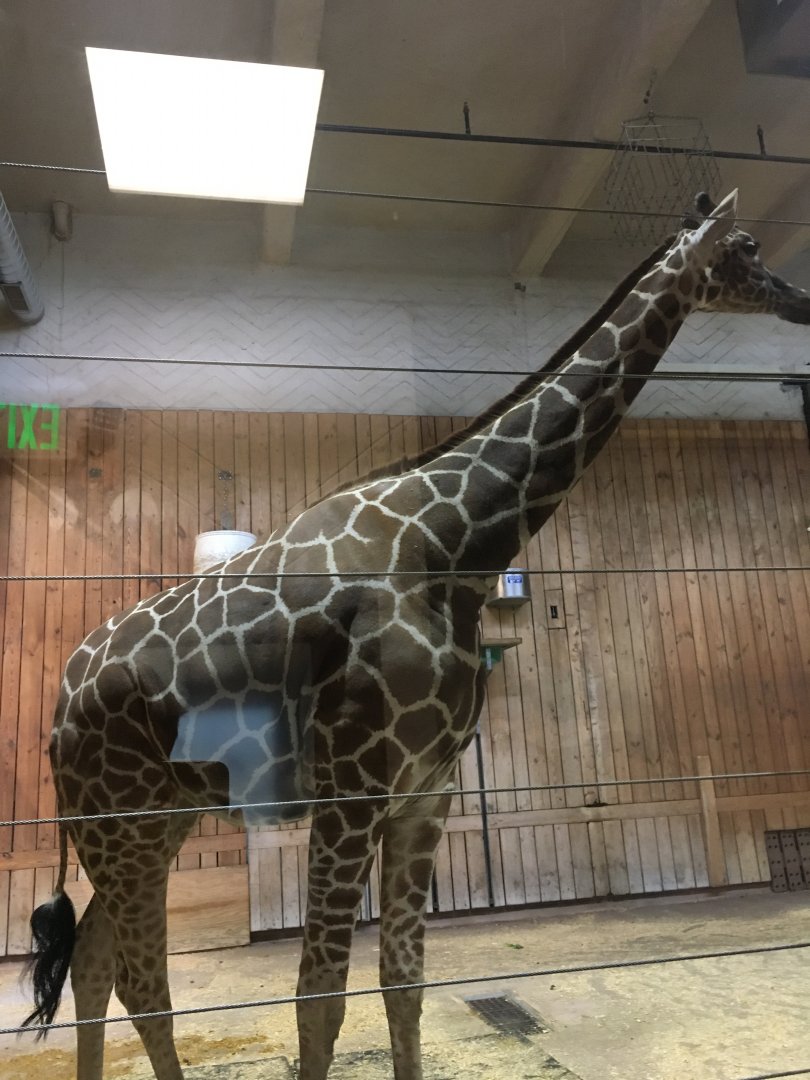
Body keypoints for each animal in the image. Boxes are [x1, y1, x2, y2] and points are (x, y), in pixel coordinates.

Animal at [22, 189, 810, 1080]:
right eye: (746, 248)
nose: (801, 301)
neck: (451, 543)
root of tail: (58, 708)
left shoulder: (426, 790)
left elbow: (404, 981)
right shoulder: (353, 785)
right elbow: (319, 994)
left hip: (158, 820)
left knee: (91, 963)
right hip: (119, 824)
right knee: (139, 981)